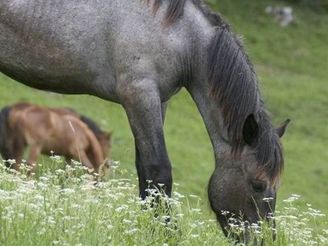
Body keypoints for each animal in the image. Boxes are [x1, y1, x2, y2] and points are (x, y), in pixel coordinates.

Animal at [0, 0, 288, 242]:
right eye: (258, 184)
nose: (265, 240)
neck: (176, 33)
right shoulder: (139, 94)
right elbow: (158, 170)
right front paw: (165, 233)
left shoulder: (159, 101)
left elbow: (145, 171)